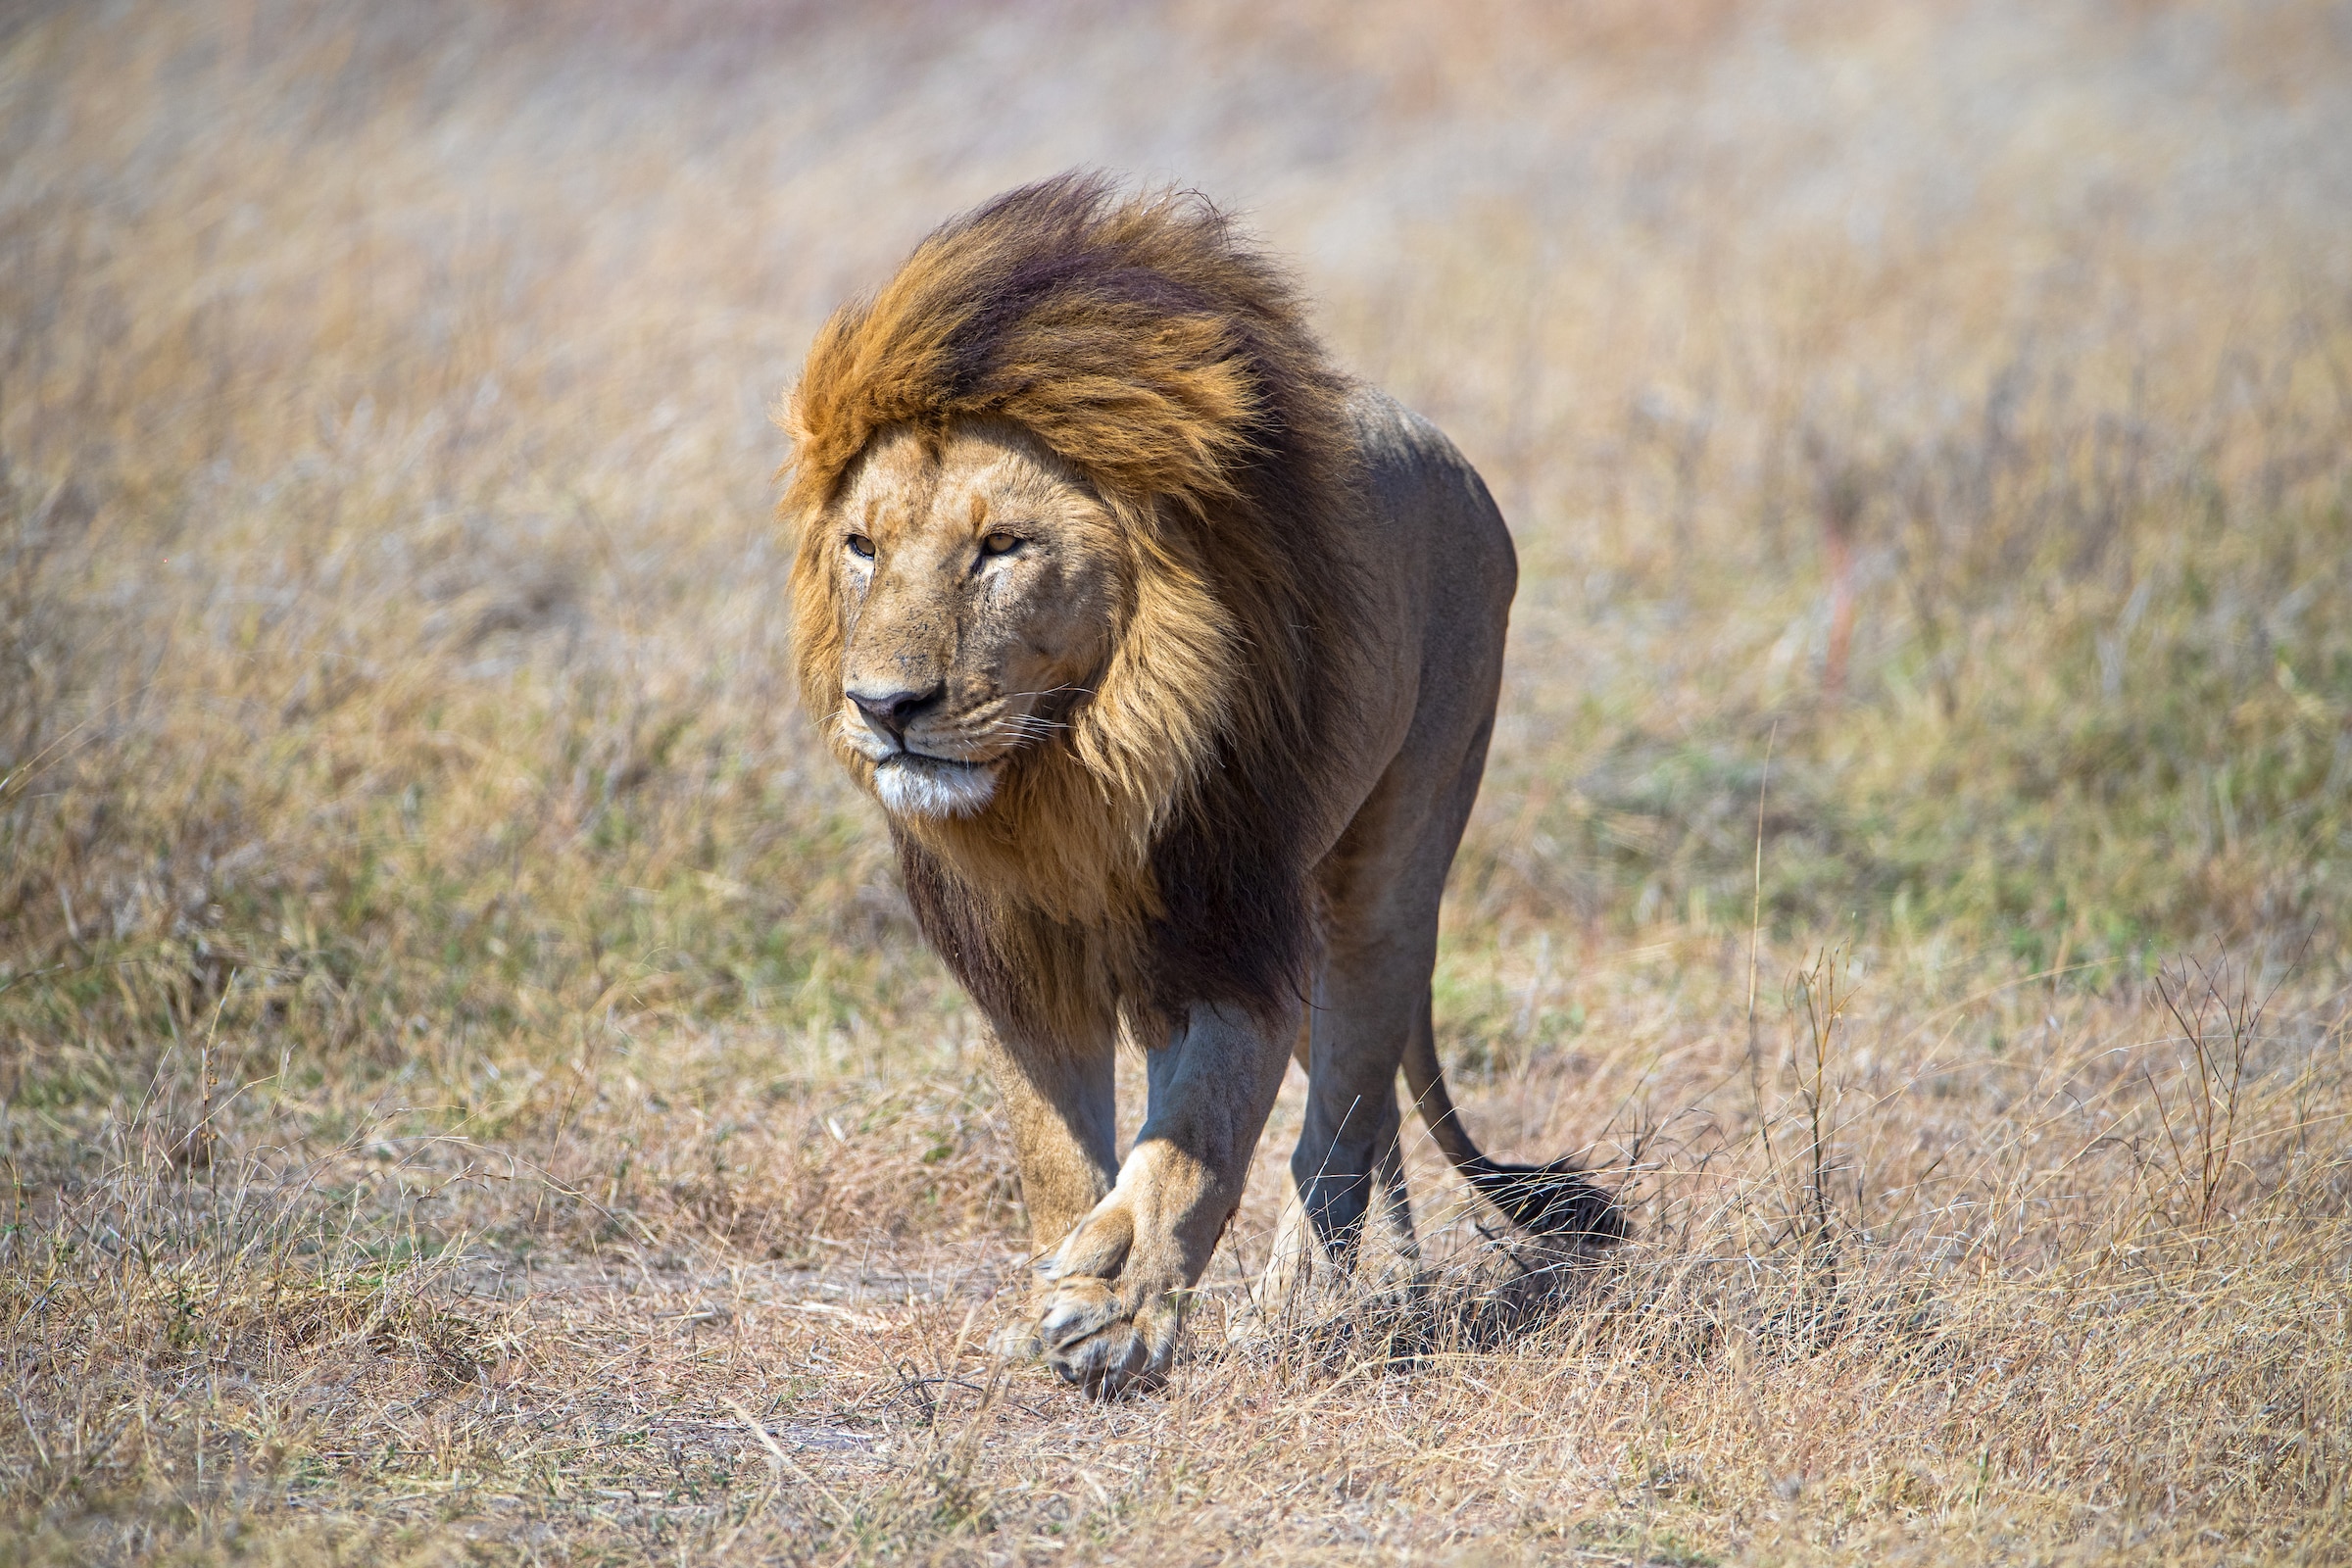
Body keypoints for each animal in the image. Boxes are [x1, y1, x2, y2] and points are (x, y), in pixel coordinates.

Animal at [780, 174, 1627, 1400]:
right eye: (862, 547)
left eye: (1003, 546)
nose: (886, 706)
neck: (1068, 772)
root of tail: (1461, 467)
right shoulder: (1023, 955)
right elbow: (1057, 1149)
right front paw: (1058, 1287)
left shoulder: (1226, 926)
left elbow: (1197, 1142)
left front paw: (1114, 1306)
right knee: (1367, 1103)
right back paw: (1386, 1284)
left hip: (1387, 862)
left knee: (1349, 1099)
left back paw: (1302, 1307)